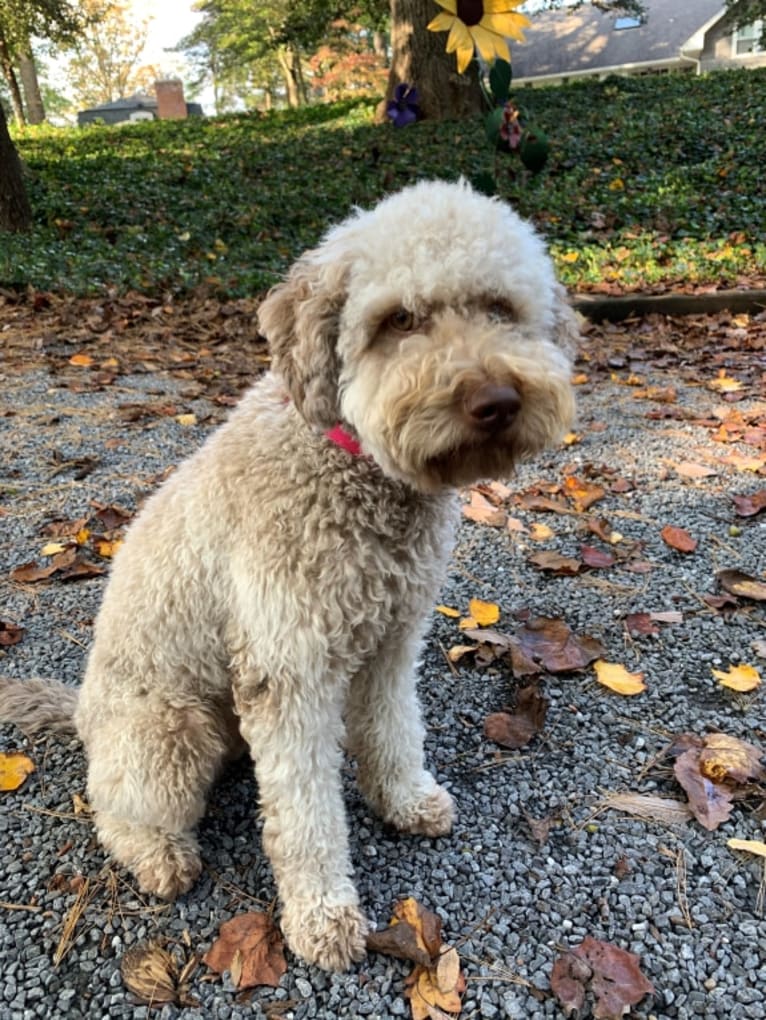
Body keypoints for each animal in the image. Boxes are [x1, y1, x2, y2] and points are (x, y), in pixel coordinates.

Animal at [0, 181, 575, 971]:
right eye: (399, 320)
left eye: (500, 307)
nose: (496, 401)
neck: (351, 464)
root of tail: (82, 710)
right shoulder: (289, 671)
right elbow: (304, 814)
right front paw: (323, 916)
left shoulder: (393, 642)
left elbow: (395, 729)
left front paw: (404, 799)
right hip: (168, 732)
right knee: (117, 807)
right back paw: (158, 854)